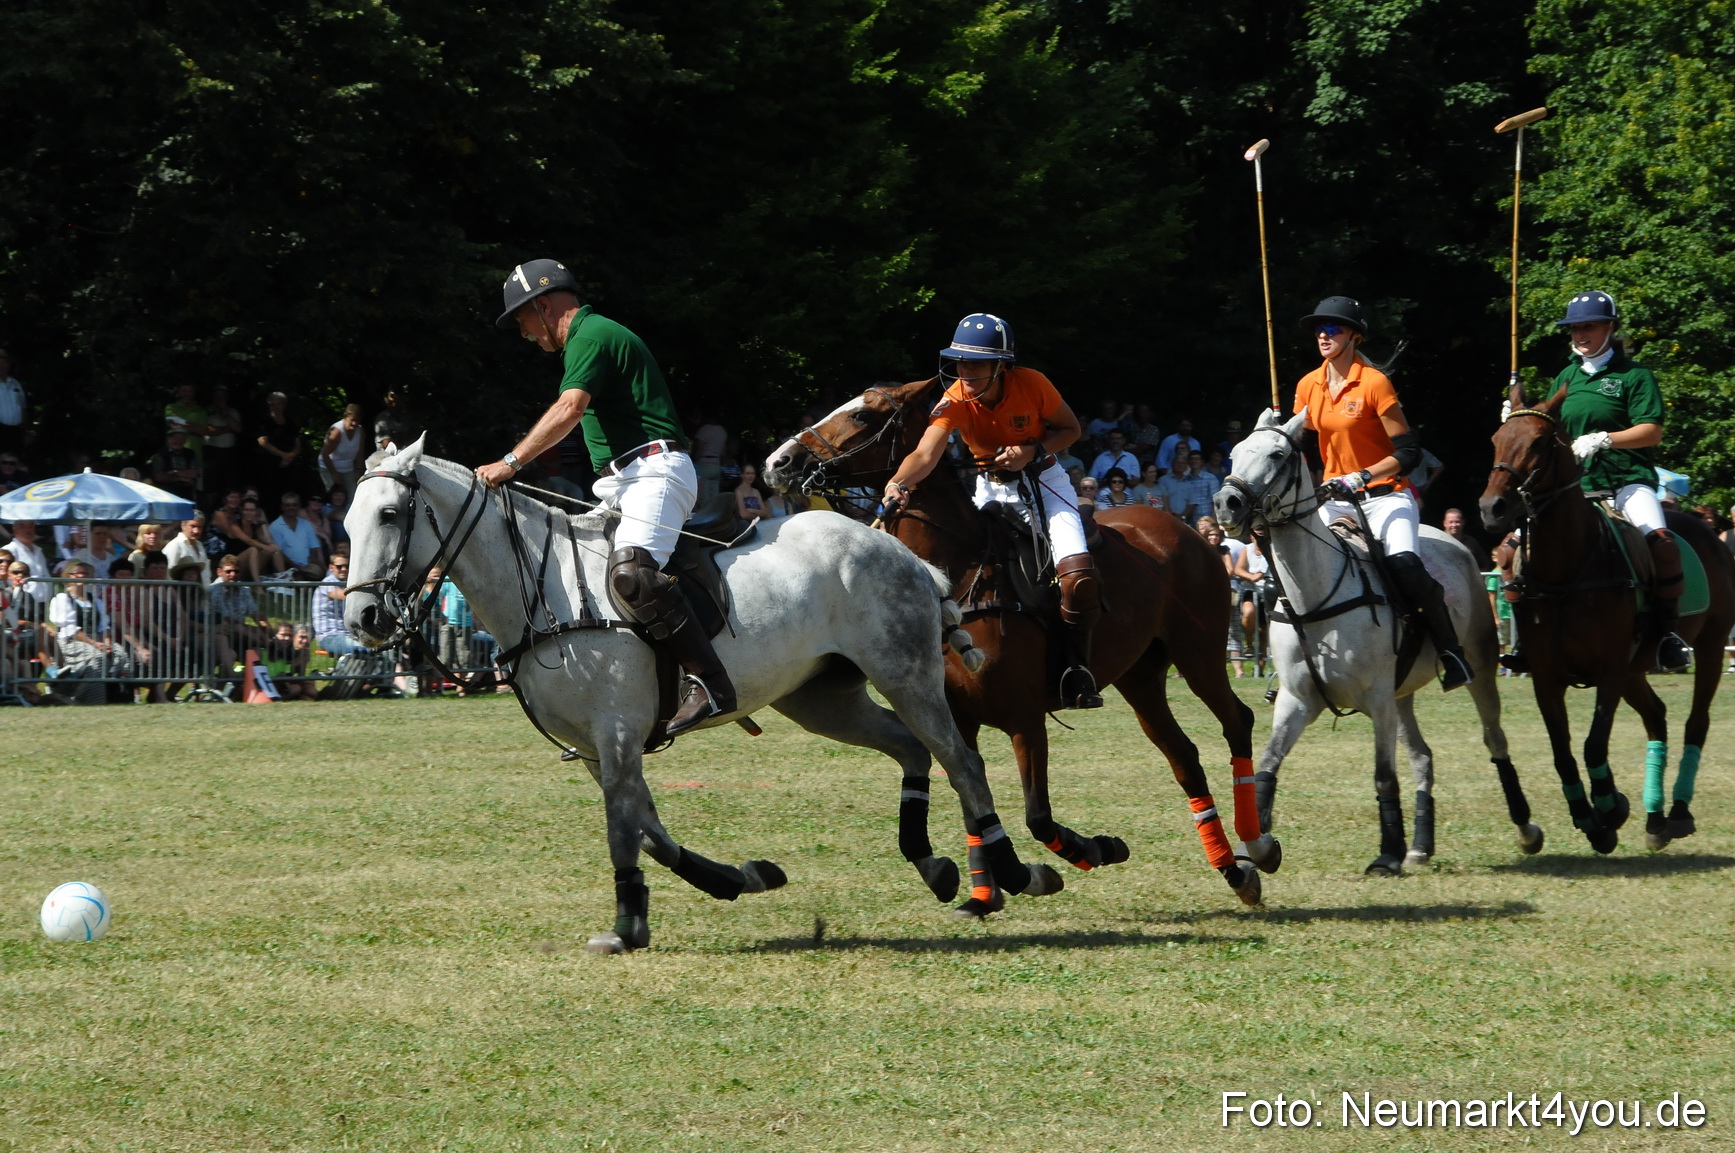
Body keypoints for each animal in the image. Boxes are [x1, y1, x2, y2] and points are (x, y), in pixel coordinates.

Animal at [343, 436, 1063, 953]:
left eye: (390, 513)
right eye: (346, 522)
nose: (364, 619)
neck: (545, 592)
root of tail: (907, 554)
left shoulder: (616, 732)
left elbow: (624, 832)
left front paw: (625, 927)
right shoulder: (599, 750)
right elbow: (650, 832)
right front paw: (741, 877)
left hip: (905, 670)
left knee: (960, 759)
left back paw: (1015, 872)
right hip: (821, 697)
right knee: (911, 749)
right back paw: (934, 865)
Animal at [763, 379, 1268, 909]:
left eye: (864, 415)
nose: (779, 461)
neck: (960, 571)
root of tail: (1188, 528)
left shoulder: (1025, 718)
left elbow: (1037, 816)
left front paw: (1097, 849)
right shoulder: (959, 719)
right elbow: (972, 796)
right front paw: (984, 894)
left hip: (1198, 651)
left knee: (1236, 720)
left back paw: (1259, 846)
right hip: (1140, 675)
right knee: (1183, 755)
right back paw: (1234, 871)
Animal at [1213, 407, 1541, 874]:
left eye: (1277, 454)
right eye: (1236, 452)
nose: (1227, 503)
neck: (1314, 594)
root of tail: (1454, 541)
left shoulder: (1378, 698)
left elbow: (1383, 774)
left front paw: (1387, 854)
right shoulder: (1297, 700)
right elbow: (1267, 764)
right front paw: (1258, 847)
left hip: (1477, 668)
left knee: (1494, 739)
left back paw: (1526, 830)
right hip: (1403, 693)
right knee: (1422, 756)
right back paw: (1421, 845)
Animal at [1479, 383, 1734, 851]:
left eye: (1539, 443)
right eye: (1496, 439)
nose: (1493, 508)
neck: (1565, 572)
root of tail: (1710, 532)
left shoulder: (1610, 670)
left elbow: (1593, 745)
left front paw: (1608, 810)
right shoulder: (1548, 676)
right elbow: (1562, 751)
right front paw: (1592, 813)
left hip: (1708, 644)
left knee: (1696, 721)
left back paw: (1677, 812)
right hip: (1637, 667)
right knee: (1657, 716)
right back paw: (1654, 818)